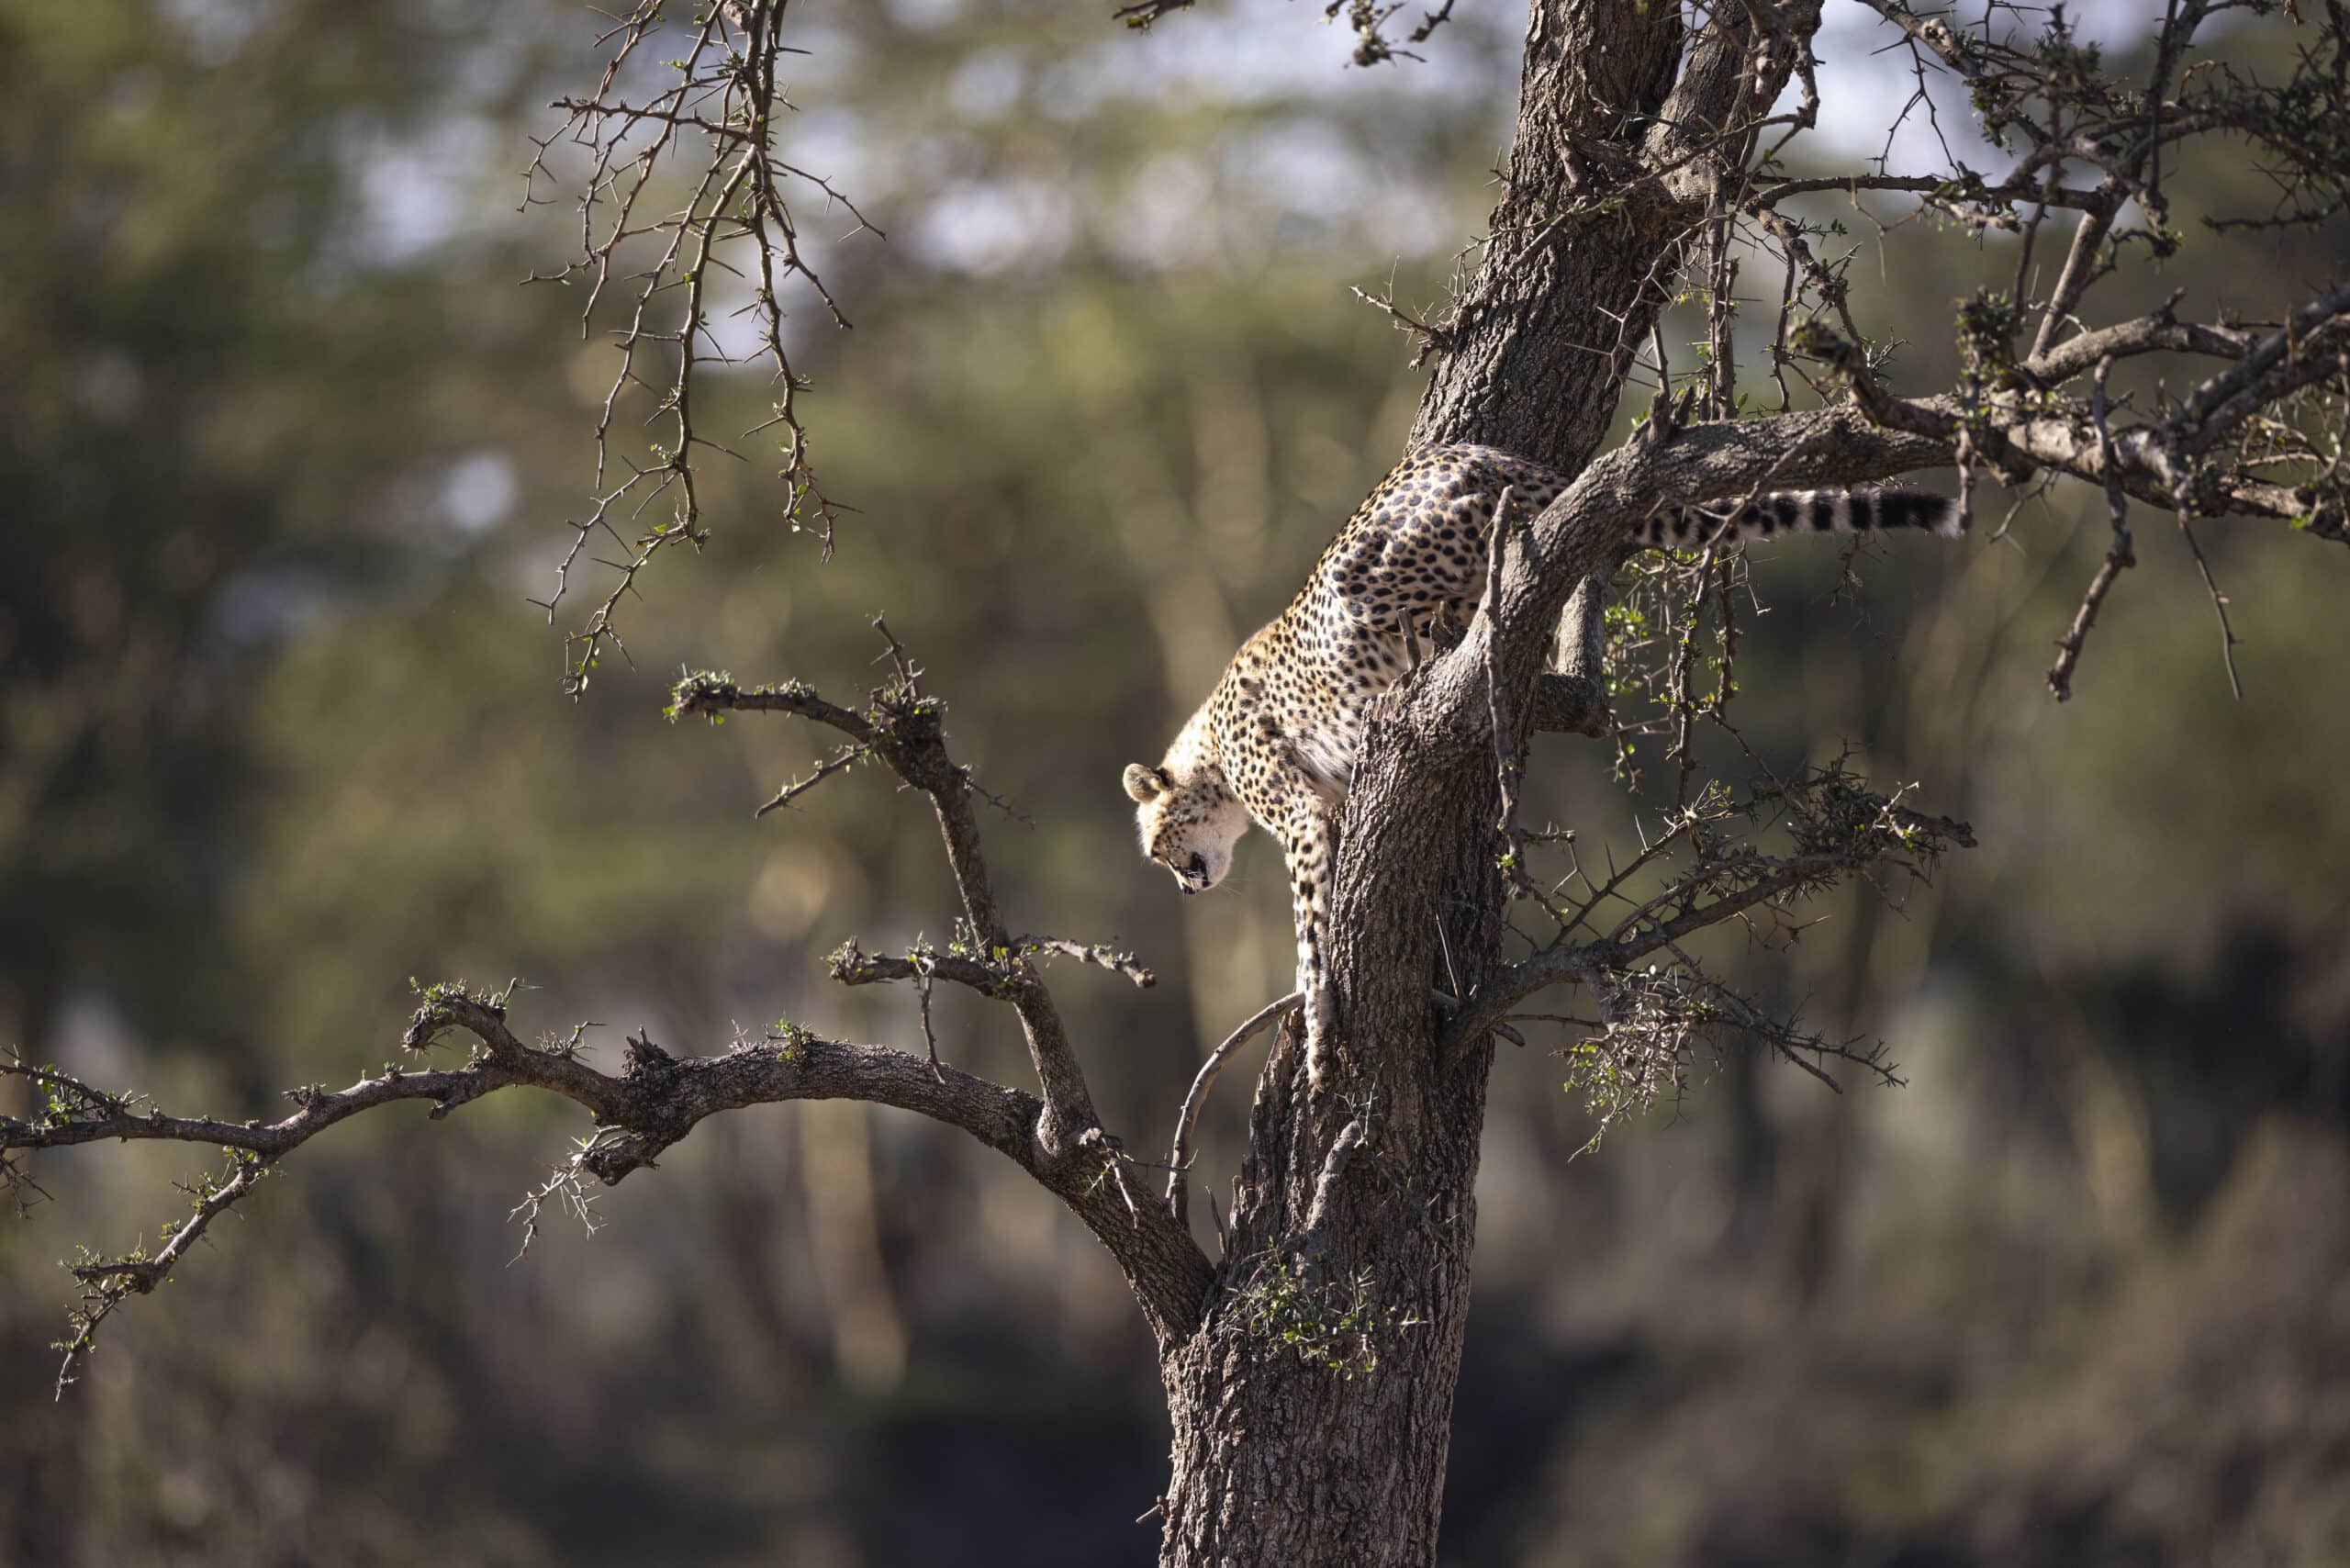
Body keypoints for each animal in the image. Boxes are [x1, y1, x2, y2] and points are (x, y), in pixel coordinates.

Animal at [1123, 442, 1964, 1091]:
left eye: (1157, 846)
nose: (1186, 884)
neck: (1210, 756)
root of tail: (1482, 452)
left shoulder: (1300, 819)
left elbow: (1308, 932)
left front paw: (1319, 1027)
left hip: (1374, 569)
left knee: (1483, 561)